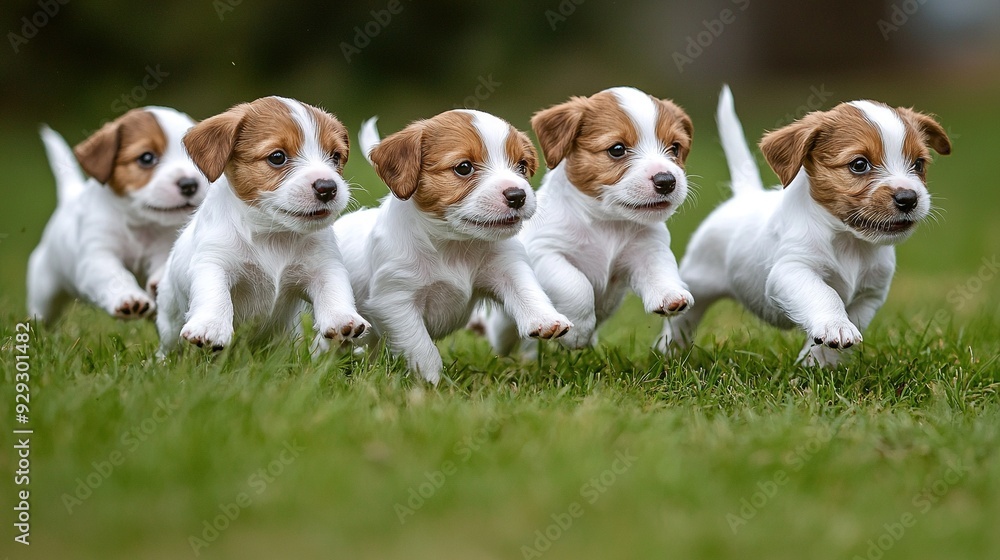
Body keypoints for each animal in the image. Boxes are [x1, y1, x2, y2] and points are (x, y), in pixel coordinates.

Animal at [28, 107, 207, 324]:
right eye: (147, 158)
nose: (189, 184)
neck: (140, 224)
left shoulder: (164, 247)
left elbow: (166, 264)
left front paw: (159, 283)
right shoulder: (97, 256)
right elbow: (115, 276)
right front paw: (128, 298)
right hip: (44, 290)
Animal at [152, 94, 364, 352]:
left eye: (335, 156)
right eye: (277, 157)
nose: (327, 187)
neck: (272, 233)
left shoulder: (323, 265)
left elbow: (335, 288)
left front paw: (343, 319)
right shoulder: (214, 261)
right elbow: (214, 292)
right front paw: (210, 326)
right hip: (169, 326)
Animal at [334, 110, 572, 384]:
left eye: (522, 165)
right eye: (464, 167)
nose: (517, 195)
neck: (454, 243)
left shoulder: (507, 268)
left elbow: (527, 291)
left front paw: (545, 319)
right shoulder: (395, 301)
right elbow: (421, 346)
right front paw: (431, 381)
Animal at [480, 87, 692, 354]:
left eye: (675, 148)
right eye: (617, 149)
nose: (667, 181)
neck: (606, 221)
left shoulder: (648, 249)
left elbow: (661, 270)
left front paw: (672, 295)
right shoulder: (546, 253)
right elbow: (577, 285)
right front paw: (578, 332)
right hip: (505, 324)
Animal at [660, 86, 948, 368]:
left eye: (919, 164)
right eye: (859, 164)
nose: (908, 198)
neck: (849, 240)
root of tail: (745, 195)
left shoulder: (870, 295)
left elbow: (848, 323)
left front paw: (817, 363)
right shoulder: (792, 270)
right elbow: (825, 294)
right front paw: (836, 326)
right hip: (697, 282)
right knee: (682, 320)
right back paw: (668, 350)